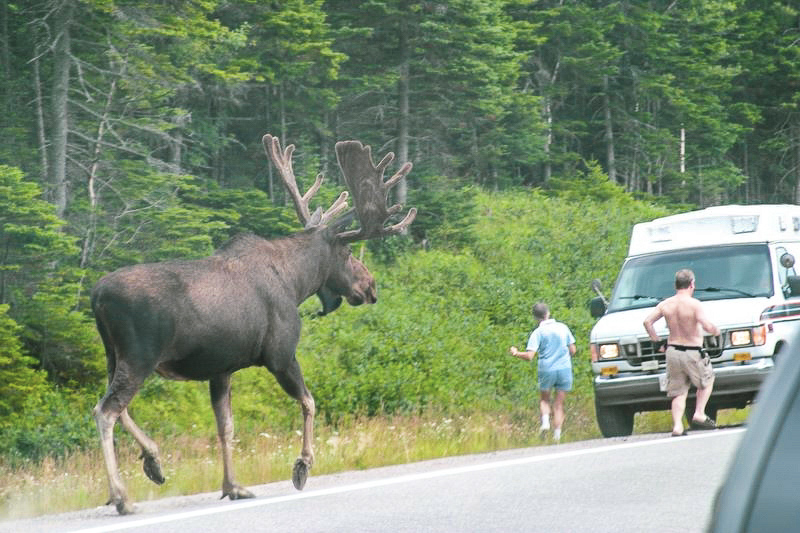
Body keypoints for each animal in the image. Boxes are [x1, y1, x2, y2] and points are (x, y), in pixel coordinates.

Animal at [92, 133, 418, 512]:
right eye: (349, 253)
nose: (370, 287)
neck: (296, 283)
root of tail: (96, 295)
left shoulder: (221, 369)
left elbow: (226, 427)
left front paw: (233, 485)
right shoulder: (280, 355)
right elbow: (309, 402)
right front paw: (302, 466)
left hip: (113, 355)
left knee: (115, 407)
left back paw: (153, 461)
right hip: (140, 356)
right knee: (106, 410)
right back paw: (121, 495)